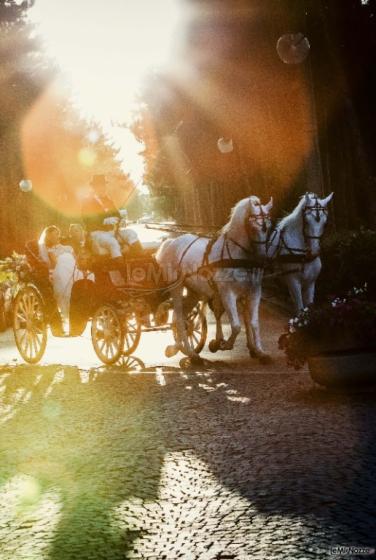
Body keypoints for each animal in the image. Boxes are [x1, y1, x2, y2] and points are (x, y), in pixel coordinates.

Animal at [156, 197, 274, 360]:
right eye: (253, 227)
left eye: (268, 227)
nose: (263, 260)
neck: (238, 257)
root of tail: (171, 242)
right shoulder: (227, 293)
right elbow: (236, 326)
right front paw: (221, 344)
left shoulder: (254, 292)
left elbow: (254, 323)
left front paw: (259, 351)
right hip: (176, 287)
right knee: (179, 319)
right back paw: (190, 353)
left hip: (194, 291)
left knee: (182, 318)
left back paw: (180, 349)